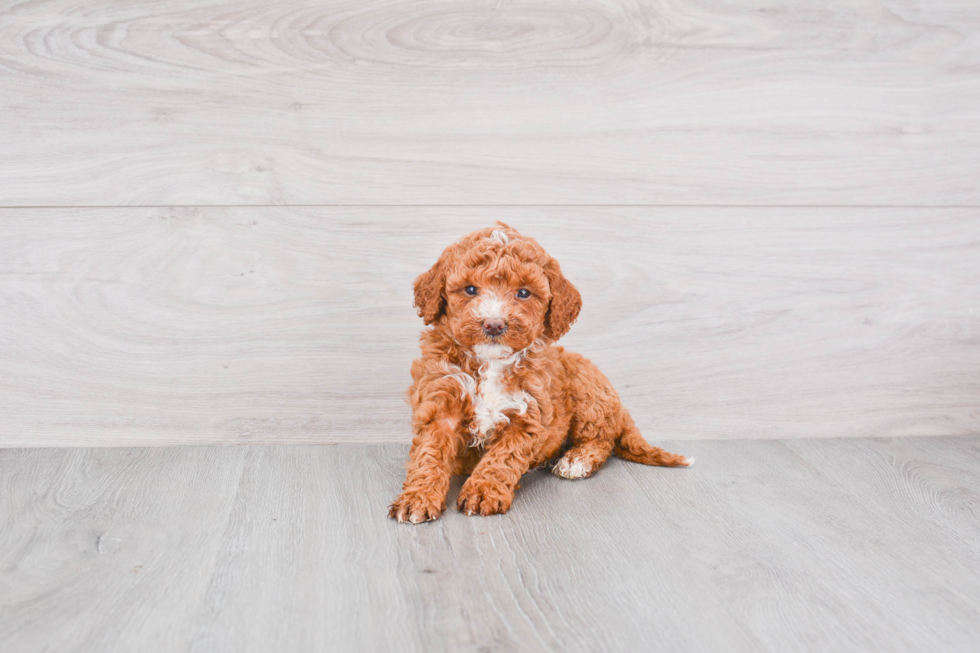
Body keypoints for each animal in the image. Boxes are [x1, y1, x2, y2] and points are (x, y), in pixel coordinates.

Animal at [386, 222, 692, 524]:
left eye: (523, 293)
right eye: (470, 290)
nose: (494, 324)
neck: (490, 363)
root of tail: (620, 409)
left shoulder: (528, 414)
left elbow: (502, 458)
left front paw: (482, 491)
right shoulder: (440, 400)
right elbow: (429, 454)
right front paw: (417, 498)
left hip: (587, 390)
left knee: (601, 439)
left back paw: (576, 460)